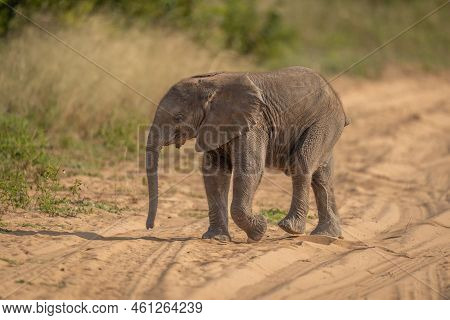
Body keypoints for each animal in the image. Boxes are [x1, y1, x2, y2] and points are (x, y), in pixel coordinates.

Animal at [146, 66, 350, 241]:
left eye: (178, 117)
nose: (150, 227)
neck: (210, 84)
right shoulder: (216, 125)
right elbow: (215, 175)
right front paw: (216, 238)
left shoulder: (254, 123)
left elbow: (249, 169)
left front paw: (259, 229)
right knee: (322, 175)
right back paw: (326, 235)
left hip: (324, 120)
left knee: (302, 162)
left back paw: (291, 228)